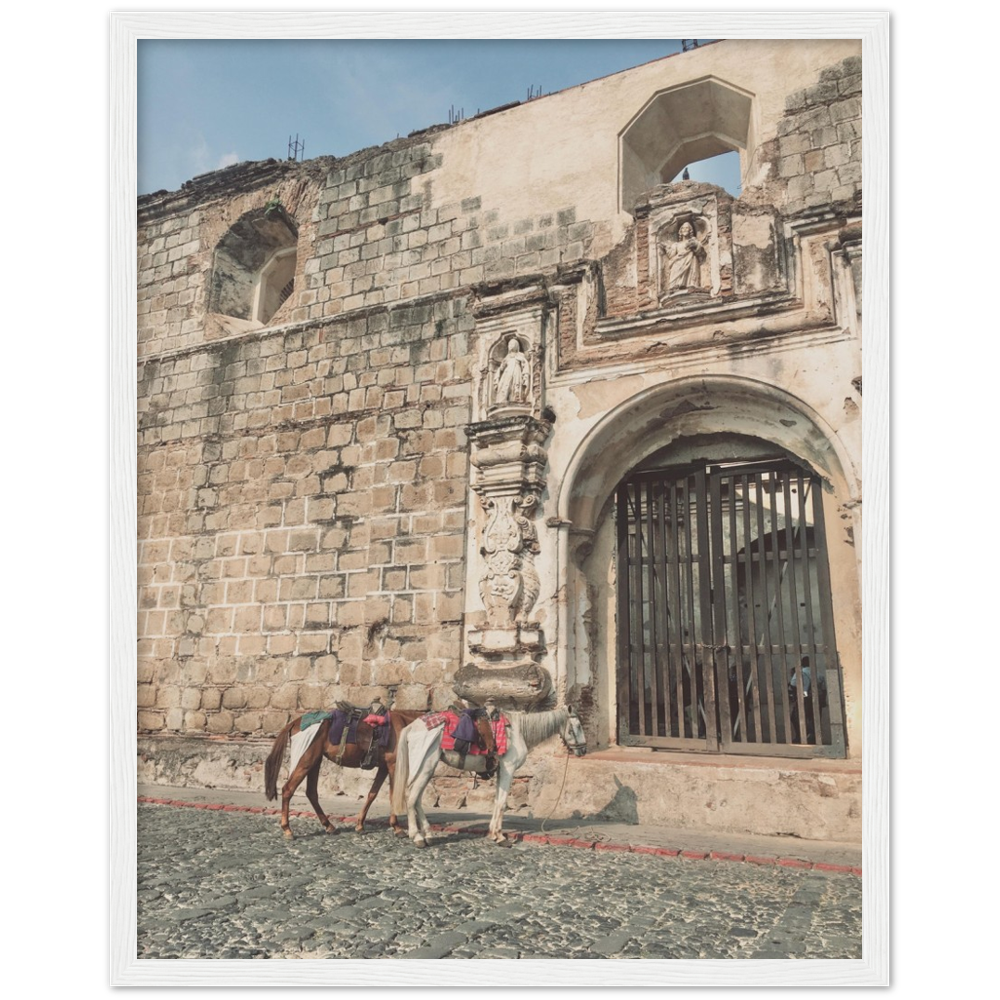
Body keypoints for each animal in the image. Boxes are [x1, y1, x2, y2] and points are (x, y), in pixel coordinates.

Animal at [262, 708, 496, 840]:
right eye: (481, 730)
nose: (494, 756)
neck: (407, 726)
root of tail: (295, 722)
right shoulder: (393, 766)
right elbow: (393, 795)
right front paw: (398, 828)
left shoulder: (383, 767)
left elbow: (372, 794)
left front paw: (360, 825)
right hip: (307, 759)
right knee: (288, 789)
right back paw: (287, 829)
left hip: (315, 760)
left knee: (311, 792)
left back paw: (329, 826)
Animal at [388, 708, 584, 848]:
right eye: (578, 726)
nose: (583, 750)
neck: (517, 731)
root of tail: (411, 727)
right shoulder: (508, 770)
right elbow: (503, 803)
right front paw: (501, 837)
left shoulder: (501, 771)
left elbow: (497, 801)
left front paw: (494, 834)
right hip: (424, 766)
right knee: (410, 797)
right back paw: (417, 837)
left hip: (427, 769)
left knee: (417, 799)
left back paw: (428, 835)